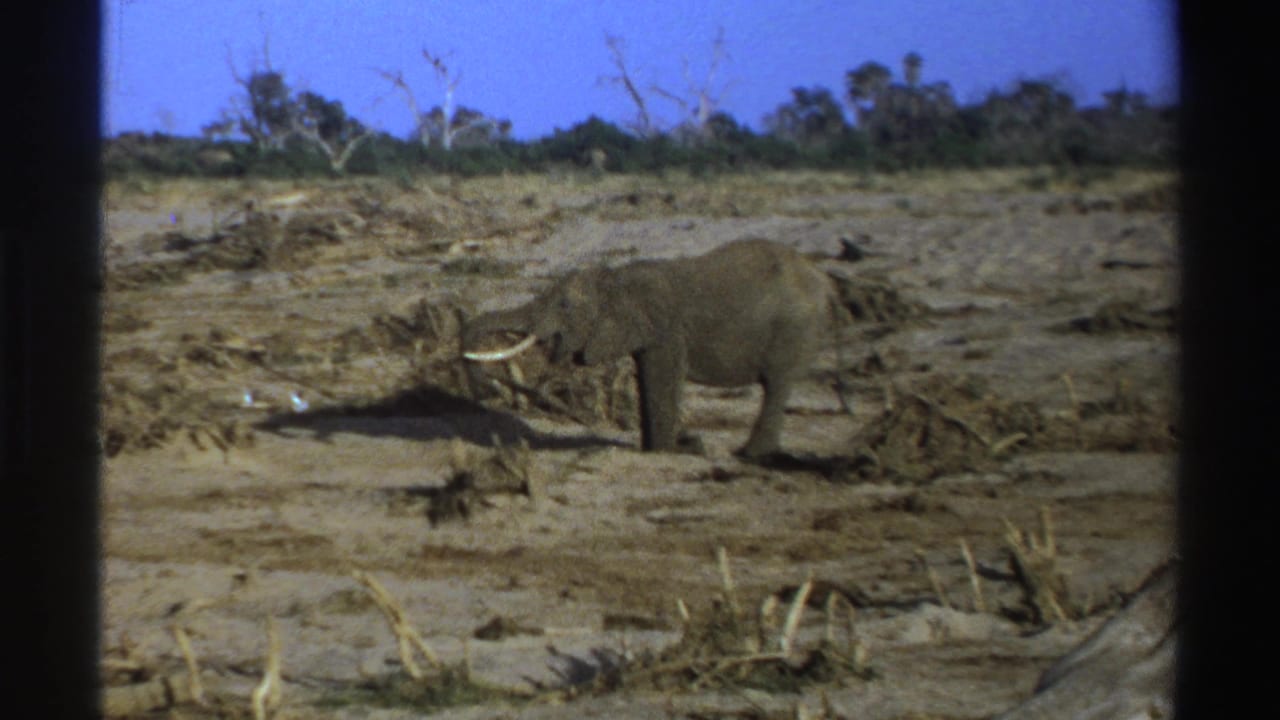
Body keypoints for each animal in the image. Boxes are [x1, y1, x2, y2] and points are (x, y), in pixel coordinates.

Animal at [462, 239, 845, 459]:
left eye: (565, 306)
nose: (482, 383)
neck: (616, 278)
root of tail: (825, 282)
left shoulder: (666, 330)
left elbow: (661, 380)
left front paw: (675, 450)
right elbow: (647, 380)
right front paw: (658, 449)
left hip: (795, 328)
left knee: (777, 385)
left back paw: (749, 455)